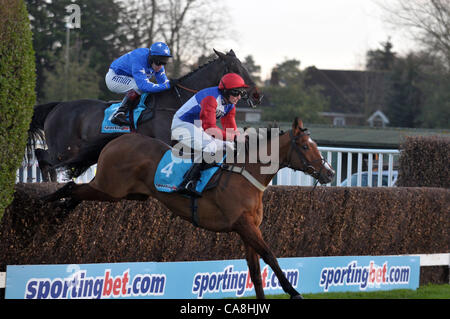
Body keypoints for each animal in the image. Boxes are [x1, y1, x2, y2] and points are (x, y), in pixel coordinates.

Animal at [28, 49, 262, 181]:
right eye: (235, 68)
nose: (256, 95)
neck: (175, 101)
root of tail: (57, 106)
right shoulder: (165, 141)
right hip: (63, 149)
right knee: (42, 157)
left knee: (45, 159)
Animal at [44, 118, 334, 300]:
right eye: (306, 146)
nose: (329, 173)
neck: (245, 173)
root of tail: (122, 138)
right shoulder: (244, 225)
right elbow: (271, 257)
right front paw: (293, 291)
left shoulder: (248, 230)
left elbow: (256, 271)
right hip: (110, 188)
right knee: (72, 187)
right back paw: (49, 206)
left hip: (126, 194)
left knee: (77, 191)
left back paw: (58, 212)